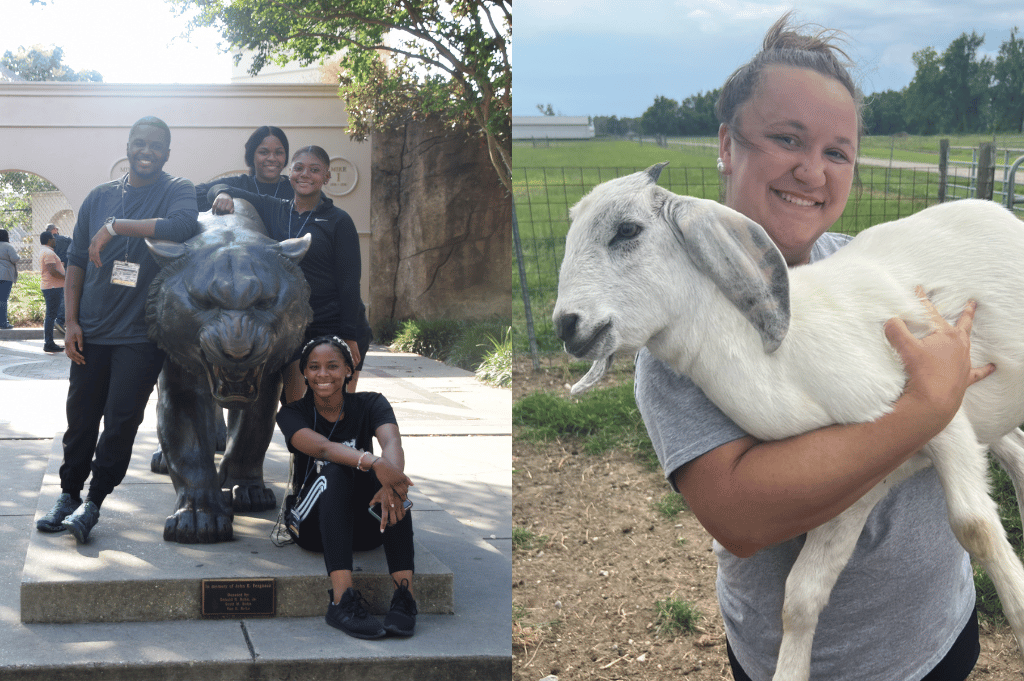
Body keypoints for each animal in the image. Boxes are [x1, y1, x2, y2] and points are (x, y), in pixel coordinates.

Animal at [557, 163, 1024, 679]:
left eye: (627, 230)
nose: (565, 325)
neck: (782, 365)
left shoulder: (944, 411)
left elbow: (974, 526)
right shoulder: (859, 480)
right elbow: (800, 596)